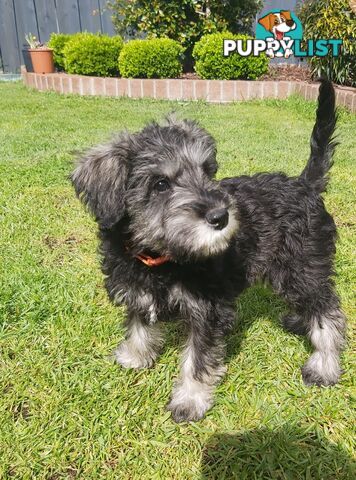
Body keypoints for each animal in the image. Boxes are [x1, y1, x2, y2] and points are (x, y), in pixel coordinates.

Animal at [71, 80, 346, 422]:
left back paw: (324, 365)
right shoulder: (137, 291)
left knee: (328, 311)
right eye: (160, 184)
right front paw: (133, 356)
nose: (220, 216)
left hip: (301, 267)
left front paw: (190, 399)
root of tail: (305, 184)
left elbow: (197, 359)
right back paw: (298, 322)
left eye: (206, 171)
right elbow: (138, 326)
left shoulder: (208, 312)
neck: (162, 259)